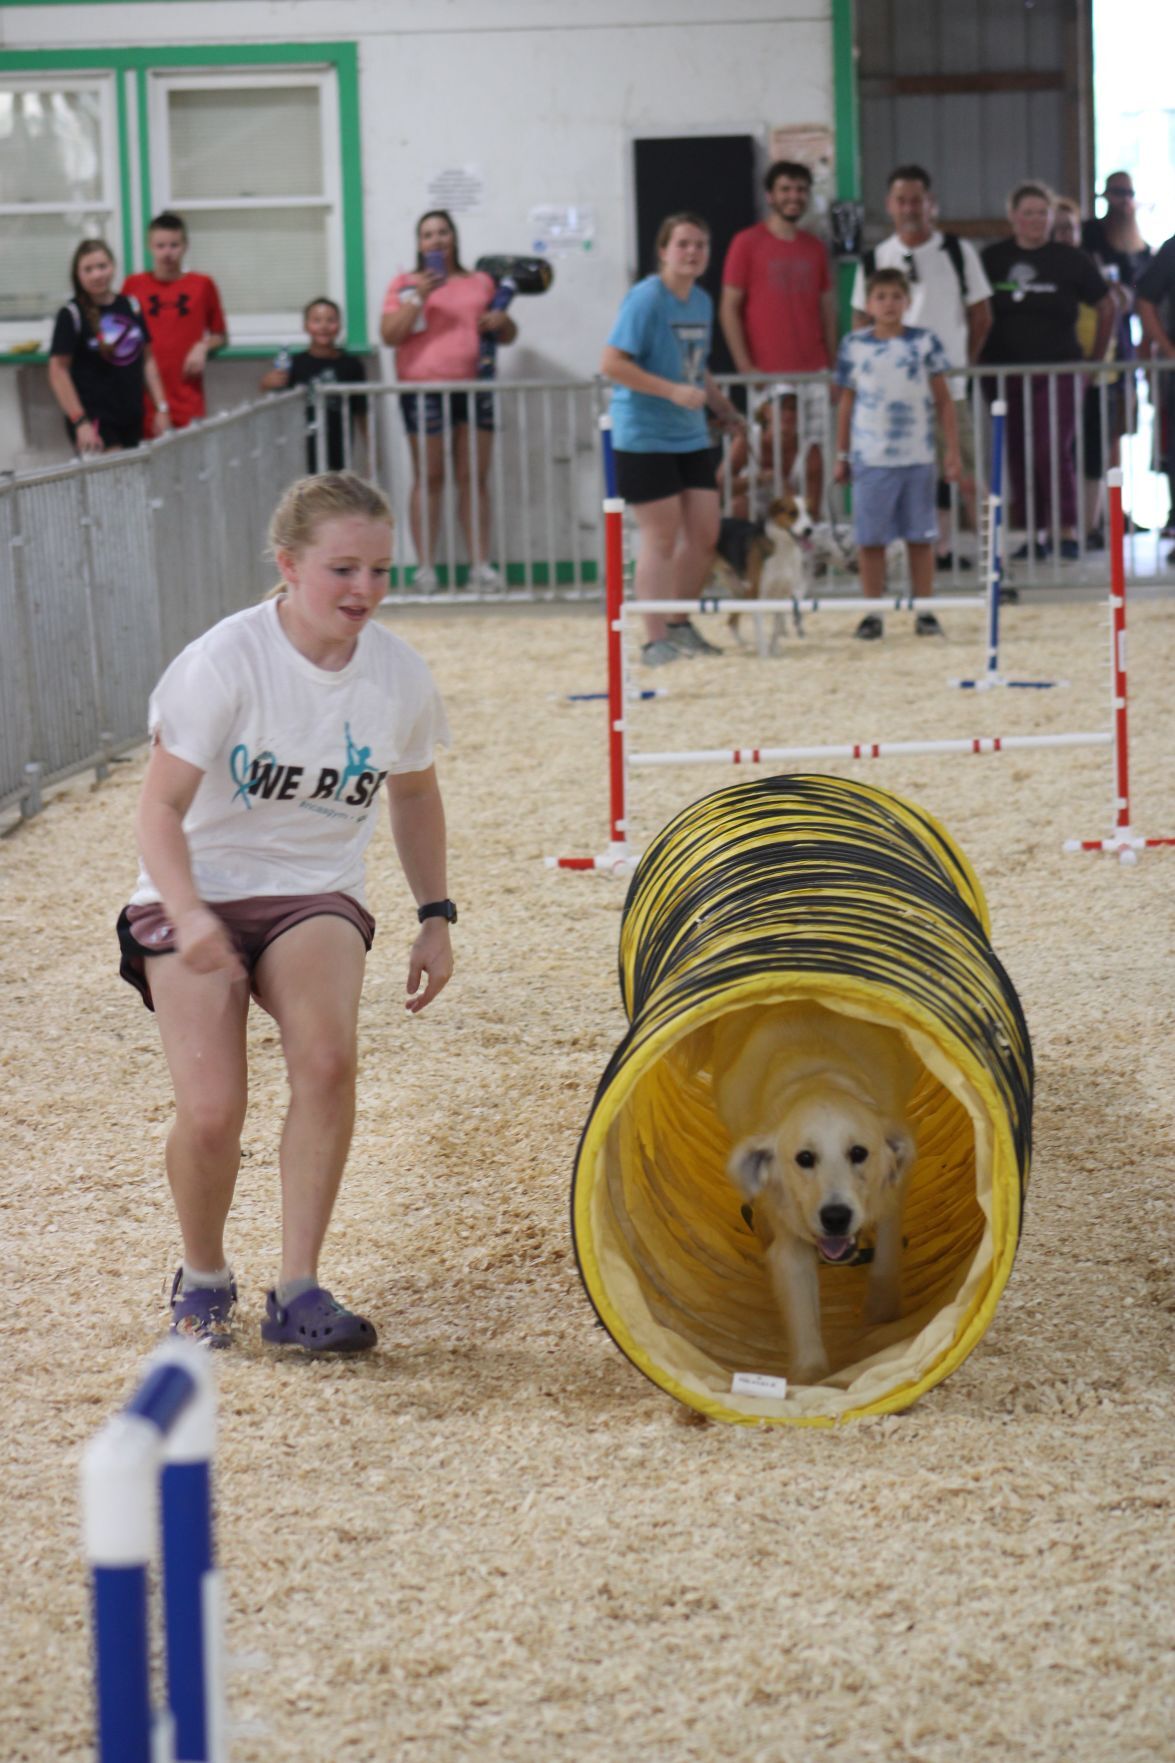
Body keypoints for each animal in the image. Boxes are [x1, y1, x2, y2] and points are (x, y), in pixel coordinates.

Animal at [705, 493, 815, 659]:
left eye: (808, 512)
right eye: (792, 513)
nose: (809, 530)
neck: (783, 550)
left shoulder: (783, 596)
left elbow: (776, 630)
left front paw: (774, 652)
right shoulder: (758, 595)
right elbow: (761, 631)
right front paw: (764, 656)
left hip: (741, 592)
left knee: (731, 621)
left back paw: (744, 644)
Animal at [705, 1001, 917, 1382]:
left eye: (859, 1152)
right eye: (804, 1158)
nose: (835, 1217)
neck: (817, 1080)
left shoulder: (892, 1193)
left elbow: (886, 1255)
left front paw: (881, 1311)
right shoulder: (792, 1239)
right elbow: (803, 1320)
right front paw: (812, 1379)